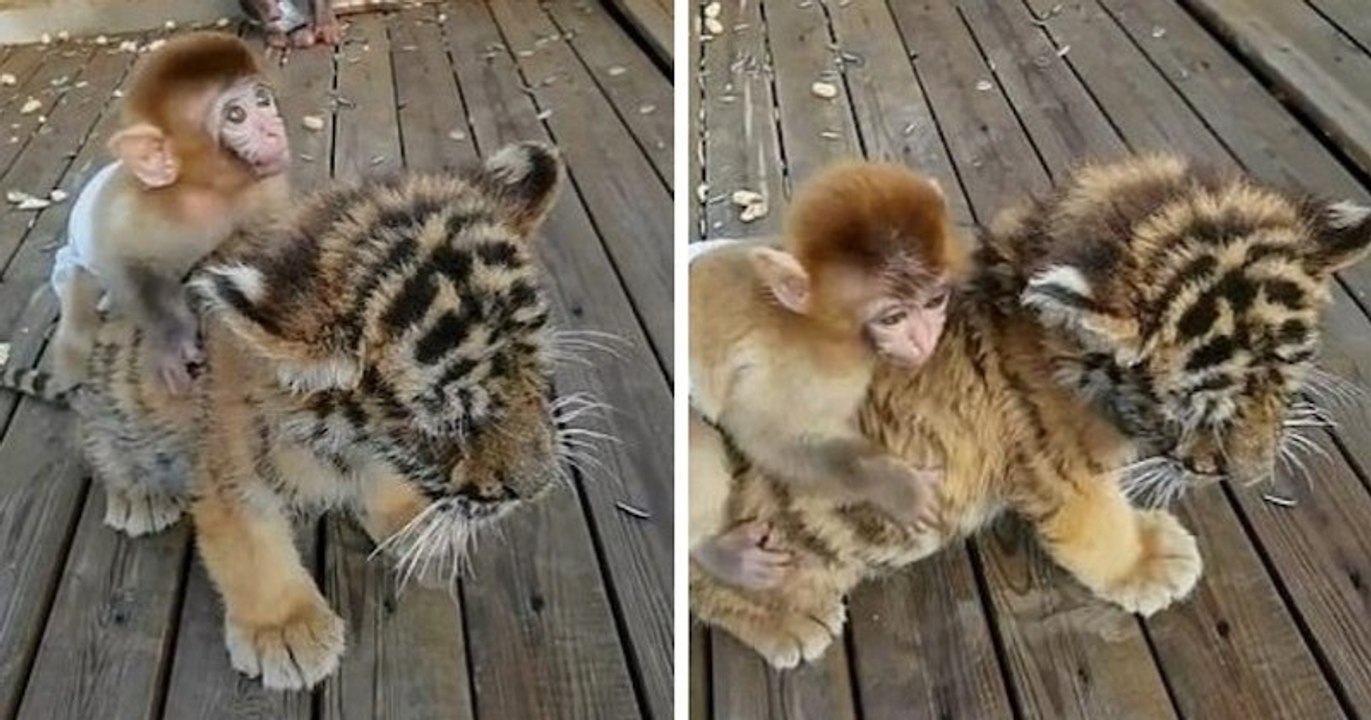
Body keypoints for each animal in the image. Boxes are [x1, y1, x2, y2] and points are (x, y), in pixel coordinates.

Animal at [0, 141, 587, 690]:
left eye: (538, 369)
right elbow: (252, 550)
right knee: (101, 446)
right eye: (445, 419)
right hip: (113, 409)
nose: (537, 489)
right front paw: (286, 632)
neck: (353, 443)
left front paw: (416, 522)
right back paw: (139, 497)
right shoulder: (229, 478)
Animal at [48, 32, 292, 395]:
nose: (274, 128)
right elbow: (126, 263)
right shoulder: (131, 212)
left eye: (262, 100)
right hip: (73, 261)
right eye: (236, 115)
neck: (206, 190)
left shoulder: (265, 190)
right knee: (76, 287)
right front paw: (174, 338)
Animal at [688, 160, 971, 590]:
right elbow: (771, 438)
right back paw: (713, 551)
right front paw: (898, 485)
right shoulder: (812, 370)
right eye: (893, 318)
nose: (923, 340)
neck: (819, 326)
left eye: (934, 300)